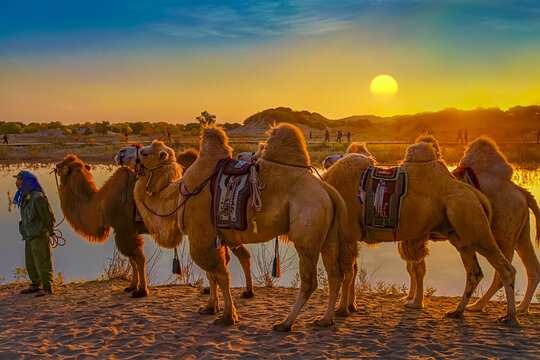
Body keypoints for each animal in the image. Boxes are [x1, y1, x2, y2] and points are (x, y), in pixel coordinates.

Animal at [133, 125, 356, 330]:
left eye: (145, 153)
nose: (133, 154)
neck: (178, 195)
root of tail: (327, 189)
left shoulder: (201, 236)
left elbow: (221, 276)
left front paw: (227, 316)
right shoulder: (215, 237)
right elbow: (212, 275)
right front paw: (210, 307)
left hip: (307, 233)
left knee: (310, 280)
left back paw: (285, 323)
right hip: (328, 236)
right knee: (335, 275)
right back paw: (325, 319)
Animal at [322, 142, 520, 328]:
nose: (326, 159)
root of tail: (476, 195)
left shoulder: (346, 234)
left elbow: (347, 272)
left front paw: (342, 310)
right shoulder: (352, 238)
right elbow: (354, 270)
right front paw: (350, 306)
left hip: (478, 230)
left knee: (506, 269)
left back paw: (510, 317)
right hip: (462, 239)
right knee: (474, 272)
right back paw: (458, 311)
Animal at [398, 135, 536, 312]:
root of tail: (522, 192)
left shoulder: (416, 235)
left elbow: (417, 269)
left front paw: (416, 302)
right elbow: (411, 267)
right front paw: (408, 298)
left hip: (502, 231)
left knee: (501, 272)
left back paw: (477, 305)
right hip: (520, 232)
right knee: (532, 268)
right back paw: (520, 307)